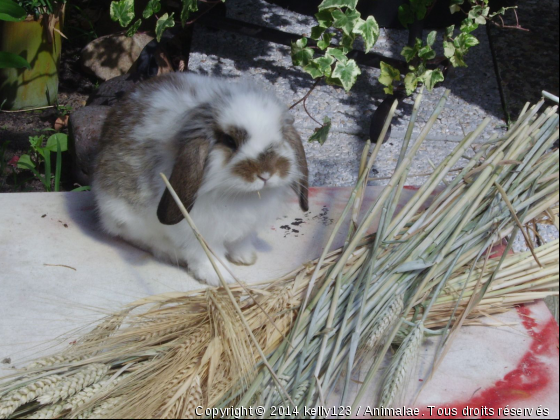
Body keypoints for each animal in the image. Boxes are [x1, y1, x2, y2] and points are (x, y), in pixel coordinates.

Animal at [92, 74, 310, 288]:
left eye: (280, 136)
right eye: (229, 141)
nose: (266, 173)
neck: (240, 194)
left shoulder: (245, 228)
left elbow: (241, 241)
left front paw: (245, 257)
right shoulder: (198, 232)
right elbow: (207, 255)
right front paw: (219, 277)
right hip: (120, 213)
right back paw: (169, 252)